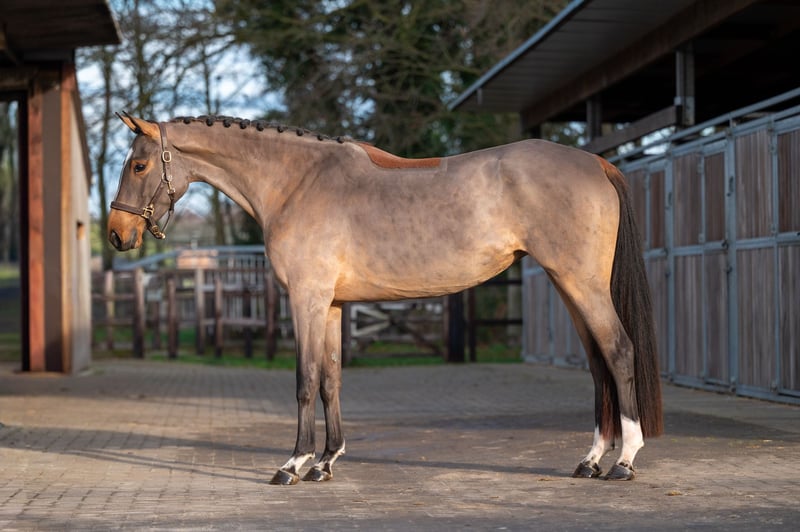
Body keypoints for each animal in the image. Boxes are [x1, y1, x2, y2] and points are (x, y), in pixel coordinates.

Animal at [108, 112, 663, 484]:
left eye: (138, 166)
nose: (116, 234)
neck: (296, 182)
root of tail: (595, 162)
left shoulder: (307, 299)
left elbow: (305, 381)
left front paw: (293, 464)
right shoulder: (330, 304)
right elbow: (331, 379)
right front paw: (326, 462)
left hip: (582, 283)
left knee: (619, 352)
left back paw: (625, 461)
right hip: (568, 284)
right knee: (597, 363)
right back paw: (591, 460)